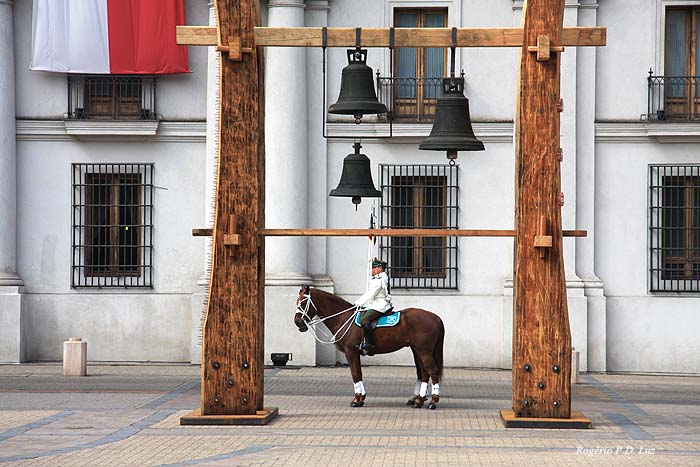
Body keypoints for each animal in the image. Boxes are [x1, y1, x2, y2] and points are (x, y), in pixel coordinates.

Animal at [294, 285, 445, 409]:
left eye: (303, 302)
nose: (297, 322)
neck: (344, 317)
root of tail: (435, 317)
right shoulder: (355, 353)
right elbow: (359, 374)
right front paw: (361, 398)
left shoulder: (350, 352)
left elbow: (355, 374)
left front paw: (356, 400)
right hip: (417, 350)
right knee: (424, 373)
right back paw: (419, 400)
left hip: (424, 351)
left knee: (432, 371)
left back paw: (432, 402)